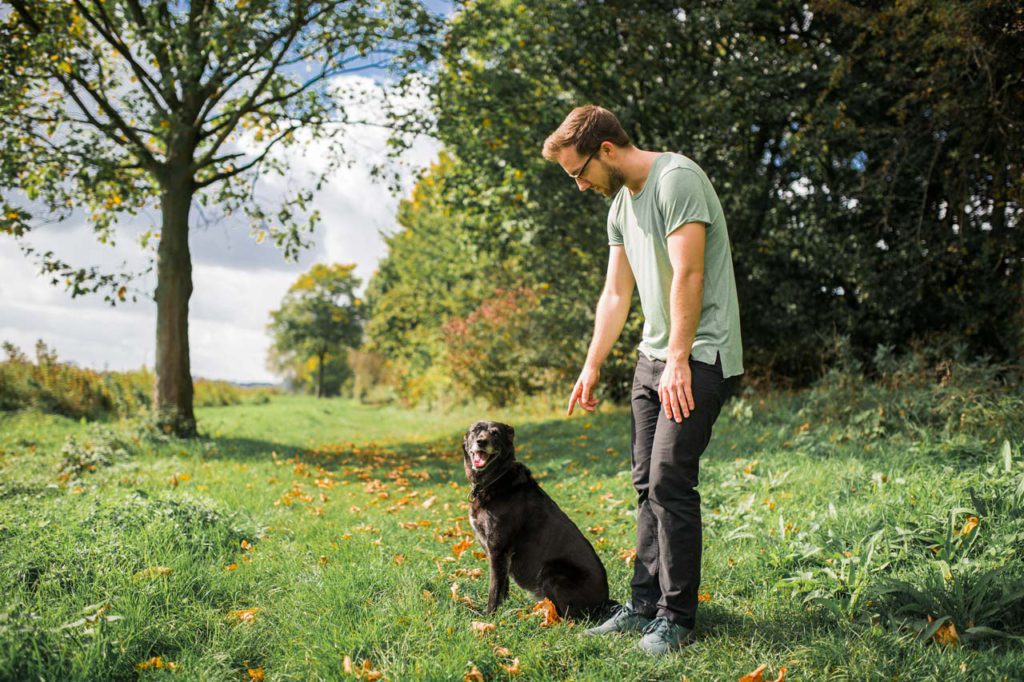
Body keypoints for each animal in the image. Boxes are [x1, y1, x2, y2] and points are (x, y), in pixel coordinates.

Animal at [462, 419, 606, 614]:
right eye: (475, 430)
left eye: (495, 433)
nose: (481, 442)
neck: (496, 479)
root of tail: (605, 603)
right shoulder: (499, 554)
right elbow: (503, 586)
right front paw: (504, 610)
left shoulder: (498, 549)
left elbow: (494, 588)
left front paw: (489, 615)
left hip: (551, 571)